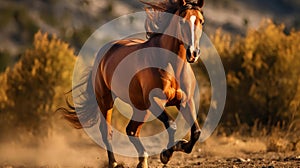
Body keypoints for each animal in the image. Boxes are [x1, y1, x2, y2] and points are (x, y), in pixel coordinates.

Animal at [61, 0, 206, 168]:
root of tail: (103, 53)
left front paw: (180, 145)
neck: (172, 67)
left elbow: (196, 132)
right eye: (182, 21)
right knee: (107, 132)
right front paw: (167, 154)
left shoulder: (186, 101)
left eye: (201, 21)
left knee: (131, 130)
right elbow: (171, 124)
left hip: (140, 107)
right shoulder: (155, 101)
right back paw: (114, 163)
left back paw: (142, 160)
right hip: (106, 101)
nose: (193, 53)